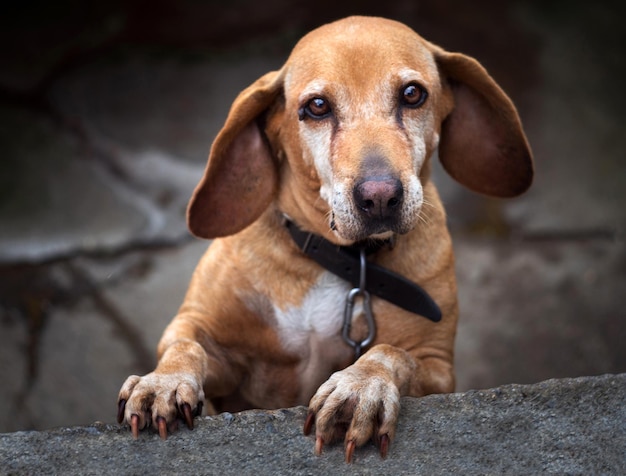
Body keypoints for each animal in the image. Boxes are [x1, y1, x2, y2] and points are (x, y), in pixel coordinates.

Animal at [117, 16, 532, 462]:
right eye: (317, 106)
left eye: (412, 94)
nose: (379, 197)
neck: (342, 259)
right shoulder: (205, 334)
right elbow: (184, 347)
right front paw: (162, 382)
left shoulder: (437, 367)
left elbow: (391, 353)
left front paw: (361, 386)